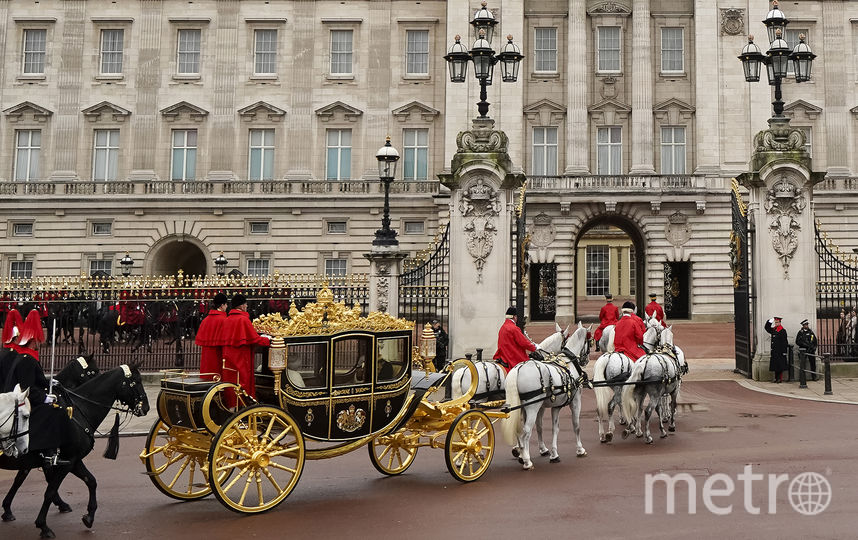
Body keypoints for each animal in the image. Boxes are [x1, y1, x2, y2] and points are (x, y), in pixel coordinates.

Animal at [498, 324, 592, 468]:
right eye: (591, 342)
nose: (585, 360)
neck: (568, 362)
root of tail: (518, 368)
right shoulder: (575, 401)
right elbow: (576, 425)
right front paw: (580, 449)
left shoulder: (554, 406)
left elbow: (551, 428)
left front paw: (552, 453)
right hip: (532, 407)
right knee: (526, 431)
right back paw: (527, 461)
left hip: (522, 407)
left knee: (520, 429)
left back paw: (522, 454)